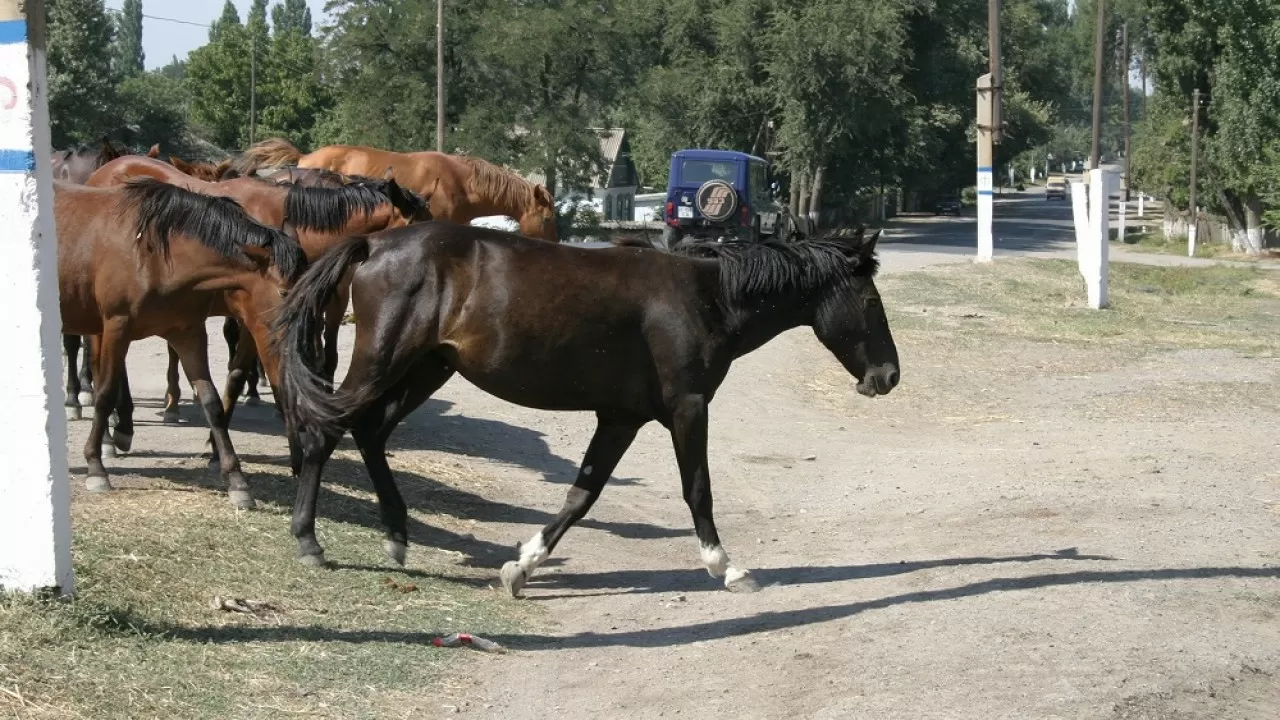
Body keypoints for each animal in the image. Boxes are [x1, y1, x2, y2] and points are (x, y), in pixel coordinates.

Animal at [57, 178, 307, 504]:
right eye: (283, 292)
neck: (156, 256)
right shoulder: (116, 328)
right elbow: (105, 394)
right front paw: (96, 468)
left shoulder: (188, 334)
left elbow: (212, 402)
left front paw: (236, 480)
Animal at [267, 222, 901, 589]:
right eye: (871, 301)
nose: (889, 376)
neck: (707, 298)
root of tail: (376, 242)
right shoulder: (688, 408)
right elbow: (698, 489)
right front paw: (727, 567)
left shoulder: (621, 418)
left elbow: (583, 493)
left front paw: (522, 564)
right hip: (384, 360)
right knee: (326, 431)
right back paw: (309, 541)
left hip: (427, 368)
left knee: (371, 433)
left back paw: (397, 535)